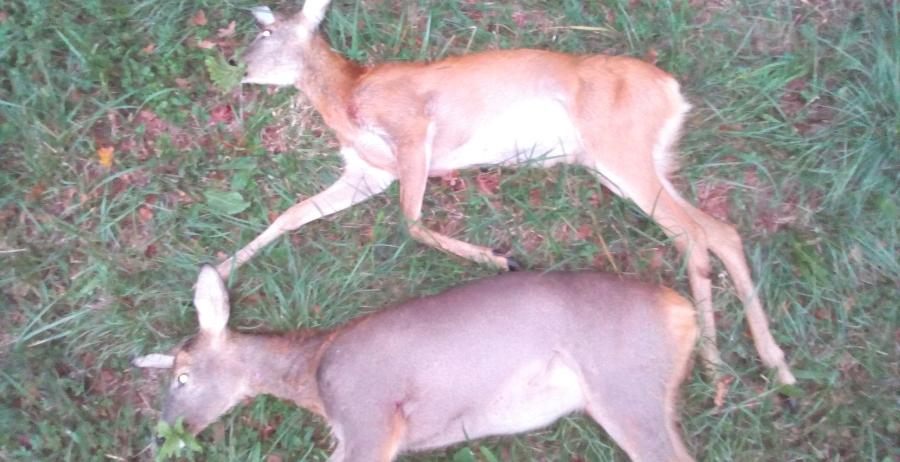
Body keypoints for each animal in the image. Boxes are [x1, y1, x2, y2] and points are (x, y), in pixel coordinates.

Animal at [135, 265, 698, 461]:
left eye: (182, 377)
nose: (161, 437)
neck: (314, 372)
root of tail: (684, 311)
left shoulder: (369, 413)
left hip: (626, 384)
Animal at [214, 1, 796, 390]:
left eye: (267, 29)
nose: (237, 66)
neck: (349, 96)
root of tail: (673, 92)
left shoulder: (413, 128)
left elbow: (410, 221)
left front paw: (501, 259)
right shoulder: (366, 173)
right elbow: (291, 215)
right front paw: (221, 269)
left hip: (621, 148)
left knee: (694, 233)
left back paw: (717, 371)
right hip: (625, 162)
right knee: (719, 230)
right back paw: (775, 364)